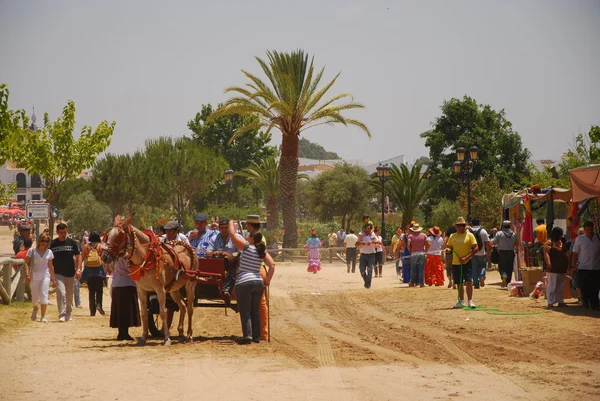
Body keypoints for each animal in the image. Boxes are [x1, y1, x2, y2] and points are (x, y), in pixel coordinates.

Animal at [101, 214, 197, 346]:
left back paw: (189, 335)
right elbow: (144, 313)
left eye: (119, 236)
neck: (147, 257)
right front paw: (143, 338)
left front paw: (167, 338)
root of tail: (187, 246)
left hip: (190, 284)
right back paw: (181, 333)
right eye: (108, 235)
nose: (104, 257)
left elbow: (162, 313)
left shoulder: (160, 289)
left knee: (190, 308)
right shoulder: (141, 289)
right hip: (174, 289)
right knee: (182, 306)